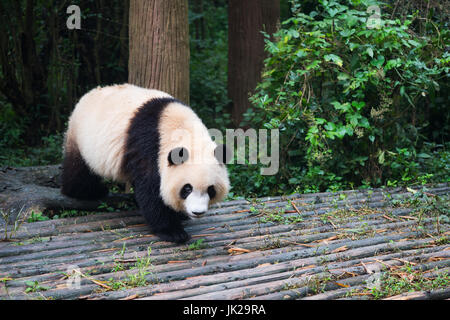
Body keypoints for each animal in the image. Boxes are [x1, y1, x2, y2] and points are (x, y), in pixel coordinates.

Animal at [61, 84, 230, 244]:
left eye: (211, 189)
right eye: (187, 188)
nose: (197, 212)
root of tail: (88, 94)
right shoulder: (148, 147)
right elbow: (151, 191)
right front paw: (173, 232)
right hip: (81, 138)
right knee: (79, 171)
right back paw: (90, 191)